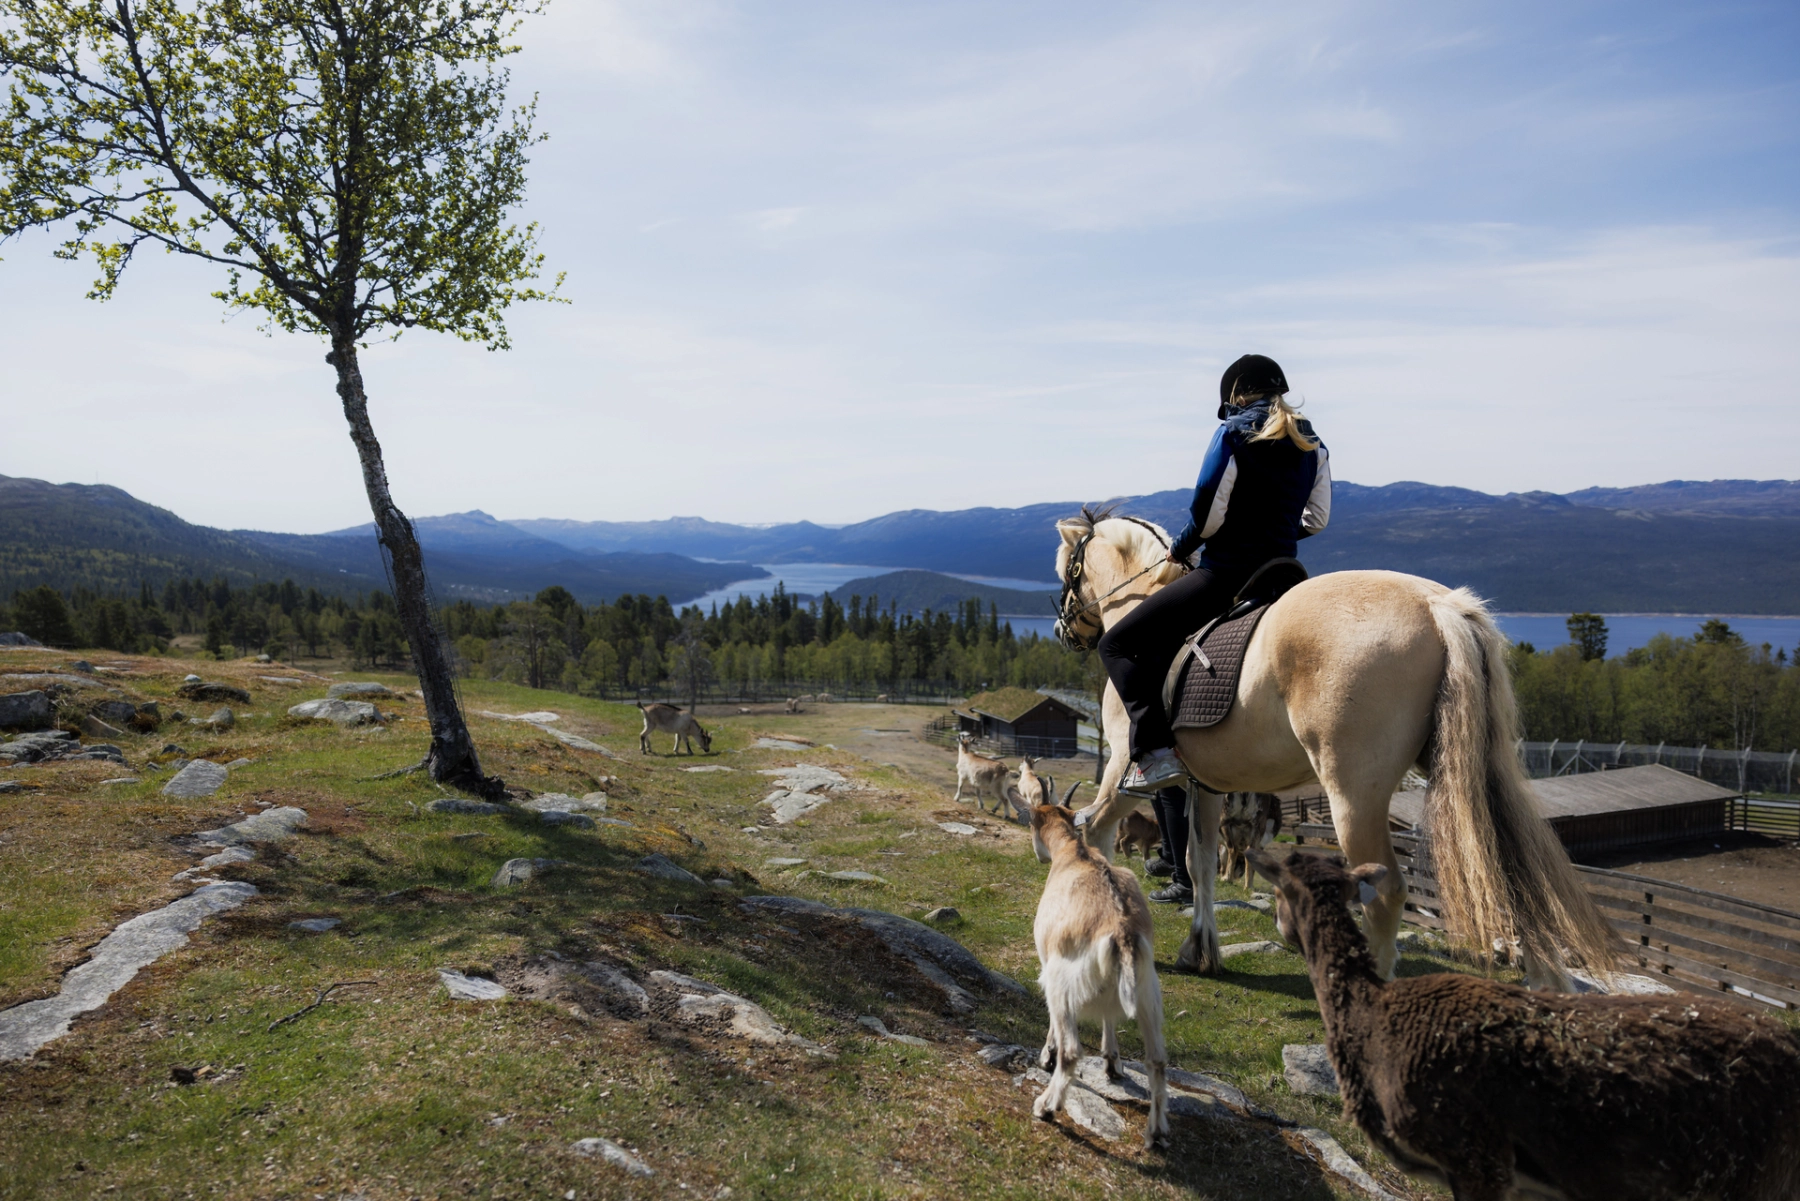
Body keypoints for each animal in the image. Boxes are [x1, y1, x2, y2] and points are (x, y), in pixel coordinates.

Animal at [1051, 508, 1611, 987]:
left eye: (1067, 570)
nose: (1062, 628)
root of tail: (1438, 606)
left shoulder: (1126, 768)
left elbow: (1100, 832)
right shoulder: (1208, 785)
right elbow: (1202, 861)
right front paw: (1200, 950)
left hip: (1352, 794)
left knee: (1386, 892)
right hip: (1473, 775)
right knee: (1513, 880)